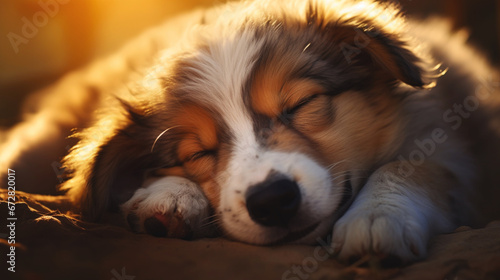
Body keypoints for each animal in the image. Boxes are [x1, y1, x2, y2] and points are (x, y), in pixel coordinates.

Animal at [0, 0, 500, 264]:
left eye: (300, 105)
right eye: (199, 153)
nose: (273, 200)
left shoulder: (449, 142)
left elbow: (410, 168)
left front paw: (379, 216)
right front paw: (170, 197)